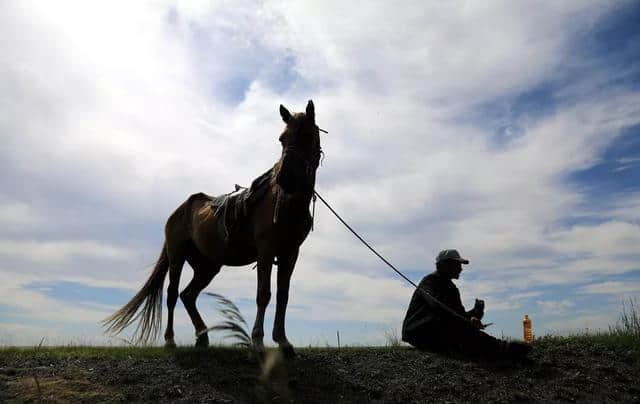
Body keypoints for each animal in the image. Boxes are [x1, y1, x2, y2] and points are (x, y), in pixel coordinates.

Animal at [106, 101, 324, 356]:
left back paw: (202, 336)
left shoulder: (290, 253)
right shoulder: (266, 251)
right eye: (282, 139)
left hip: (207, 266)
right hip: (177, 257)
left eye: (307, 136)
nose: (285, 179)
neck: (286, 204)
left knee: (188, 295)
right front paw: (258, 342)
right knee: (172, 295)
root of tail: (179, 211)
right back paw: (170, 340)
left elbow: (283, 295)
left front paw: (283, 341)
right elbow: (264, 294)